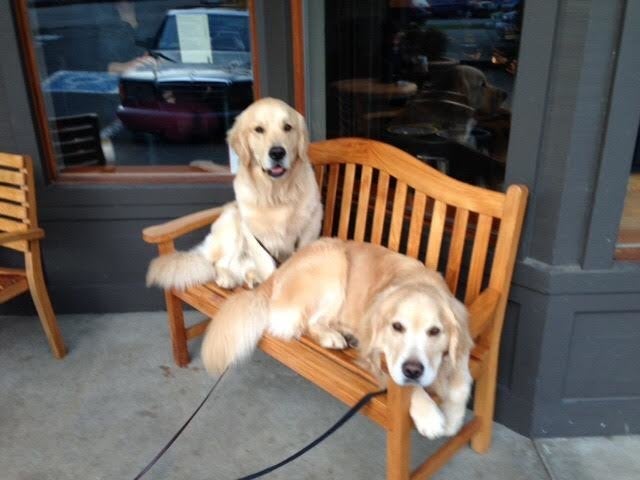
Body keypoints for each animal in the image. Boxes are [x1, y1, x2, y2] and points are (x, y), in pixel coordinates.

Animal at [147, 98, 322, 288]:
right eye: (259, 129)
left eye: (288, 127)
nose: (277, 152)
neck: (276, 193)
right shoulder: (255, 236)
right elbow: (267, 267)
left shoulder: (310, 227)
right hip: (232, 225)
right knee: (220, 263)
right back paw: (227, 278)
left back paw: (252, 278)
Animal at [202, 238, 472, 436]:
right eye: (397, 327)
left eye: (435, 331)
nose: (413, 370)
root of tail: (276, 275)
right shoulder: (380, 357)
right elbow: (409, 386)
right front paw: (430, 415)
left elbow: (462, 383)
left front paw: (453, 418)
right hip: (335, 264)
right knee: (306, 323)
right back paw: (332, 336)